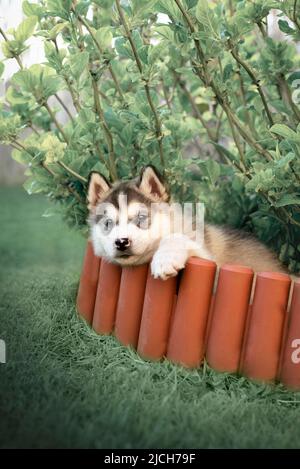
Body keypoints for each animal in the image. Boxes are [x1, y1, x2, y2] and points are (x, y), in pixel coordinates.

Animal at [86, 166, 284, 280]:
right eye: (108, 224)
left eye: (141, 218)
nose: (121, 242)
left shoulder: (211, 265)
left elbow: (176, 238)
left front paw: (165, 260)